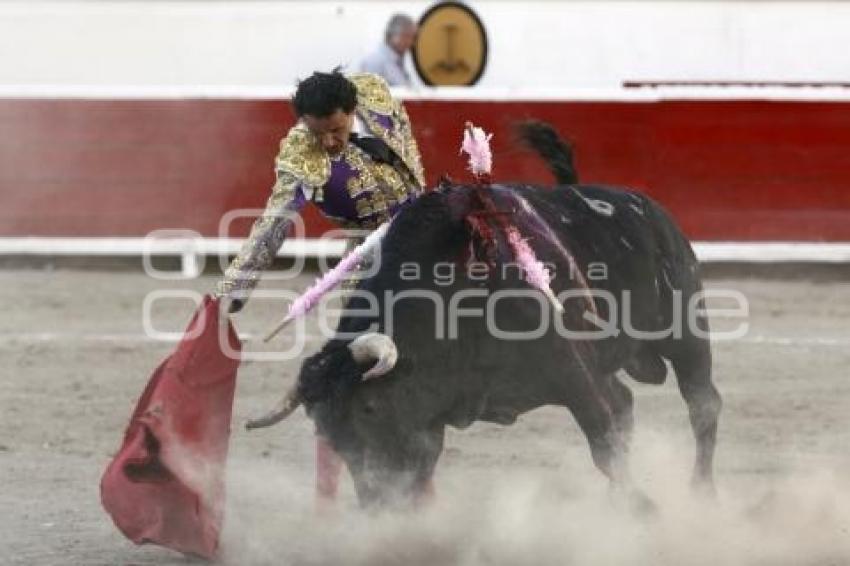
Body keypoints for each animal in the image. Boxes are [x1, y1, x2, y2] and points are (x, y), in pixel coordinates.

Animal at [248, 164, 720, 510]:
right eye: (326, 430)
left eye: (368, 408)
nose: (379, 506)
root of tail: (653, 210)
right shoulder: (427, 414)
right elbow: (422, 469)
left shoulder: (571, 370)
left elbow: (602, 441)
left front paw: (646, 509)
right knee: (625, 403)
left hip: (685, 331)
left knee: (702, 404)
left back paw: (700, 493)